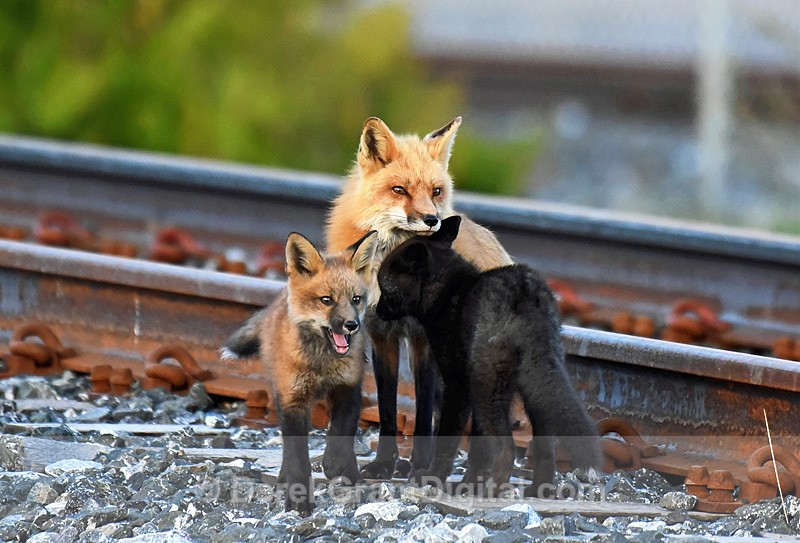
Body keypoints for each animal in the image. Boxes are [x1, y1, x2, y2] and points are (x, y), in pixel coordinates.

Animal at [223, 230, 377, 515]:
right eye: (326, 300)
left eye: (356, 299)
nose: (352, 325)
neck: (321, 364)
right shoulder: (292, 400)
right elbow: (297, 455)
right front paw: (298, 497)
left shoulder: (348, 388)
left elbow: (341, 433)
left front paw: (336, 466)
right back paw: (284, 479)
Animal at [326, 117, 514, 479]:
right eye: (400, 190)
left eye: (436, 191)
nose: (433, 220)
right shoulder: (381, 335)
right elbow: (387, 408)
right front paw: (385, 464)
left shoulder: (422, 339)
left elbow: (424, 410)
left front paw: (421, 465)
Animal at [375, 216, 601, 497]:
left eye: (383, 286)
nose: (376, 312)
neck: (447, 292)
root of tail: (524, 293)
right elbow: (479, 447)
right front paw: (469, 482)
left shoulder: (459, 383)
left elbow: (448, 440)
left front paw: (433, 478)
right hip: (535, 388)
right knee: (545, 449)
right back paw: (539, 489)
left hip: (488, 386)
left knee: (507, 448)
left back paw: (494, 490)